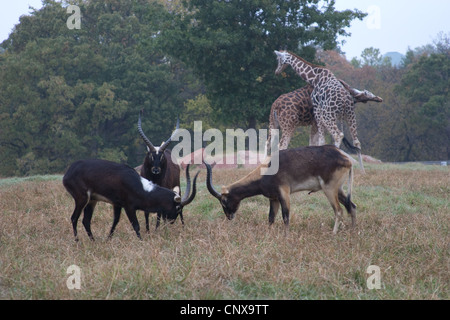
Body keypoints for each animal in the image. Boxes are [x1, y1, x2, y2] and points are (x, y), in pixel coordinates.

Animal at [63, 159, 199, 241]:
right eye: (178, 207)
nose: (171, 221)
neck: (140, 186)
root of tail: (68, 171)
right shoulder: (129, 207)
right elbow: (136, 225)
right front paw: (141, 241)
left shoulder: (117, 204)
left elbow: (115, 221)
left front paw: (108, 239)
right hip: (82, 199)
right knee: (74, 218)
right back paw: (77, 241)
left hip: (92, 201)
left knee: (86, 220)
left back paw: (93, 241)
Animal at [204, 146, 356, 234]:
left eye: (224, 201)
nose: (229, 217)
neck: (266, 170)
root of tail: (346, 158)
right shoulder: (274, 198)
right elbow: (271, 218)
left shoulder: (284, 193)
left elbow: (285, 216)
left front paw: (286, 236)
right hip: (339, 190)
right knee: (351, 206)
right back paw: (353, 232)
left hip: (329, 190)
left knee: (339, 210)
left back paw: (333, 234)